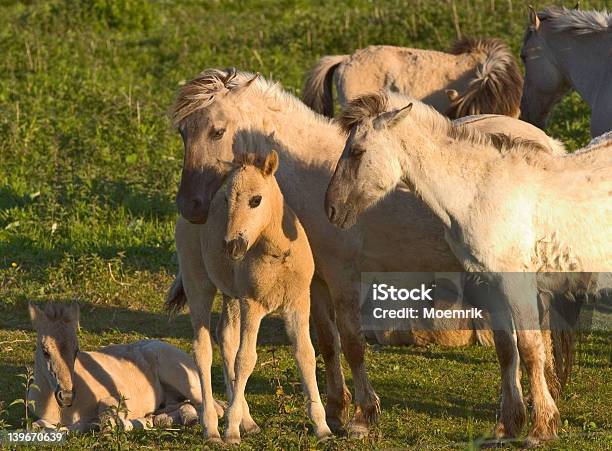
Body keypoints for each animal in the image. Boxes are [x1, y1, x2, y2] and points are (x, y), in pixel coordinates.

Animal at [28, 302, 224, 432]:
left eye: (76, 350)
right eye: (45, 351)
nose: (67, 395)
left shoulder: (119, 396)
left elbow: (106, 414)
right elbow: (36, 425)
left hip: (182, 378)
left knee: (213, 407)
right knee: (182, 404)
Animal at [165, 69, 568, 442]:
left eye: (217, 131)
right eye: (183, 133)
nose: (190, 206)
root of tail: (549, 147)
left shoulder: (344, 277)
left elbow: (353, 344)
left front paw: (362, 416)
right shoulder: (318, 283)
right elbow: (326, 344)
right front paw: (334, 410)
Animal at [322, 91, 608, 444]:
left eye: (357, 151)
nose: (331, 209)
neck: (480, 193)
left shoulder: (518, 285)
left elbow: (530, 349)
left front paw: (541, 428)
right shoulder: (491, 287)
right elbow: (506, 351)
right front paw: (507, 426)